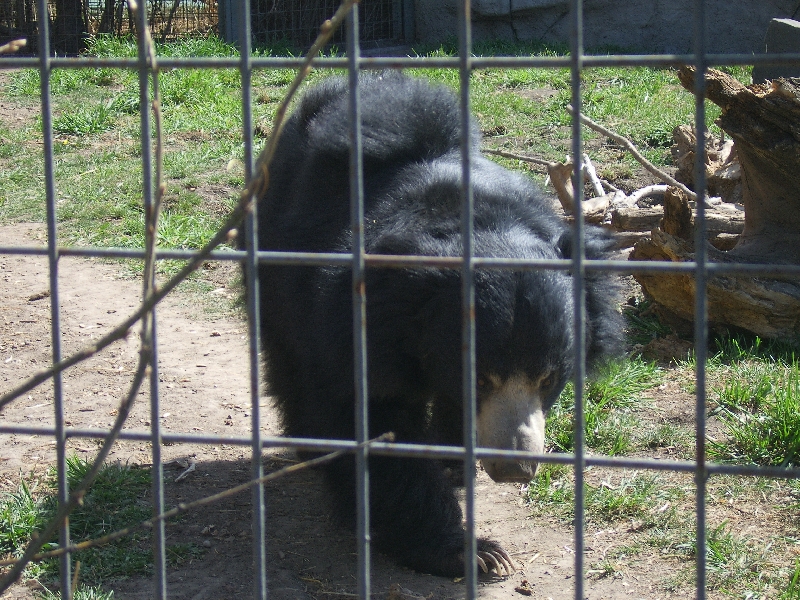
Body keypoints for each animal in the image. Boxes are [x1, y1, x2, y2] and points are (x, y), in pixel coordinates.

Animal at [250, 72, 624, 580]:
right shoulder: (357, 324)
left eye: (548, 378)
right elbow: (374, 417)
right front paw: (473, 552)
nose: (516, 469)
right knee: (290, 361)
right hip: (277, 261)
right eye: (481, 377)